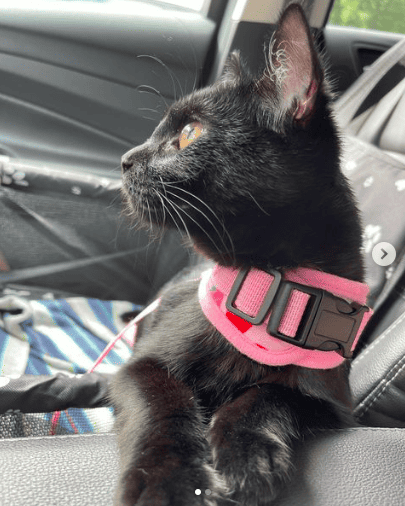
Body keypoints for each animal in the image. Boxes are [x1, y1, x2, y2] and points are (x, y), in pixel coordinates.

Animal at [109, 4, 370, 506]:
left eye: (189, 134)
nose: (126, 159)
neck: (271, 292)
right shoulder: (140, 366)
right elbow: (162, 403)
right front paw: (169, 479)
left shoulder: (334, 405)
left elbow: (272, 395)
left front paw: (248, 454)